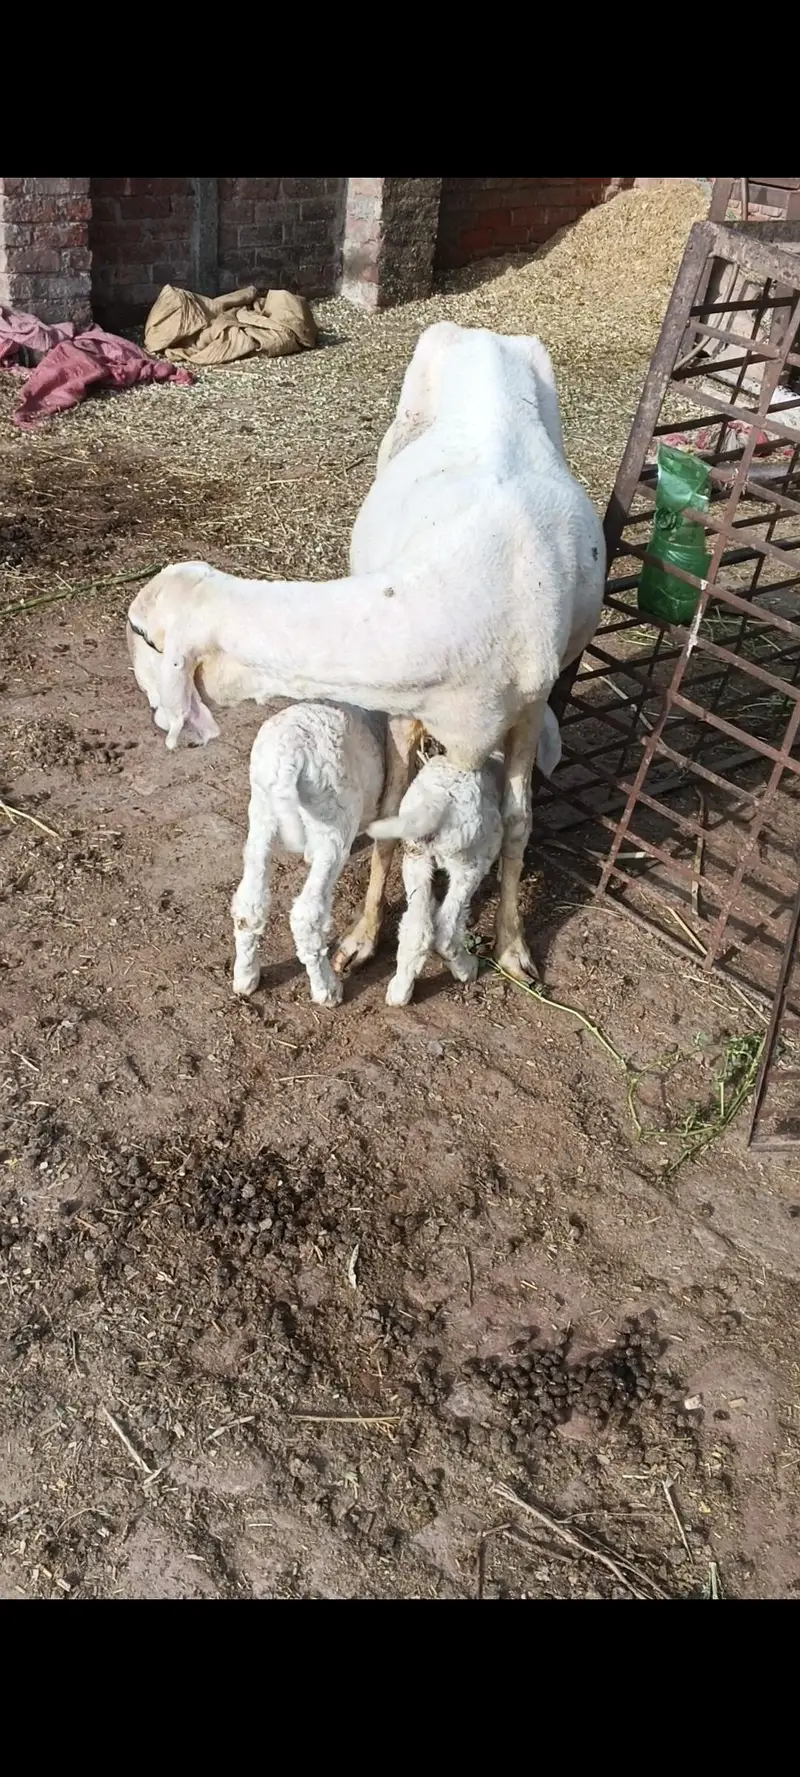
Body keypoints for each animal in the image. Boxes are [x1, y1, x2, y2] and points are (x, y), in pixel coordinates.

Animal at [230, 700, 562, 1008]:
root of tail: (289, 757)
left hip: (262, 813)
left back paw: (246, 978)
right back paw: (327, 990)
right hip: (334, 823)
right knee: (308, 916)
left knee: (249, 904)